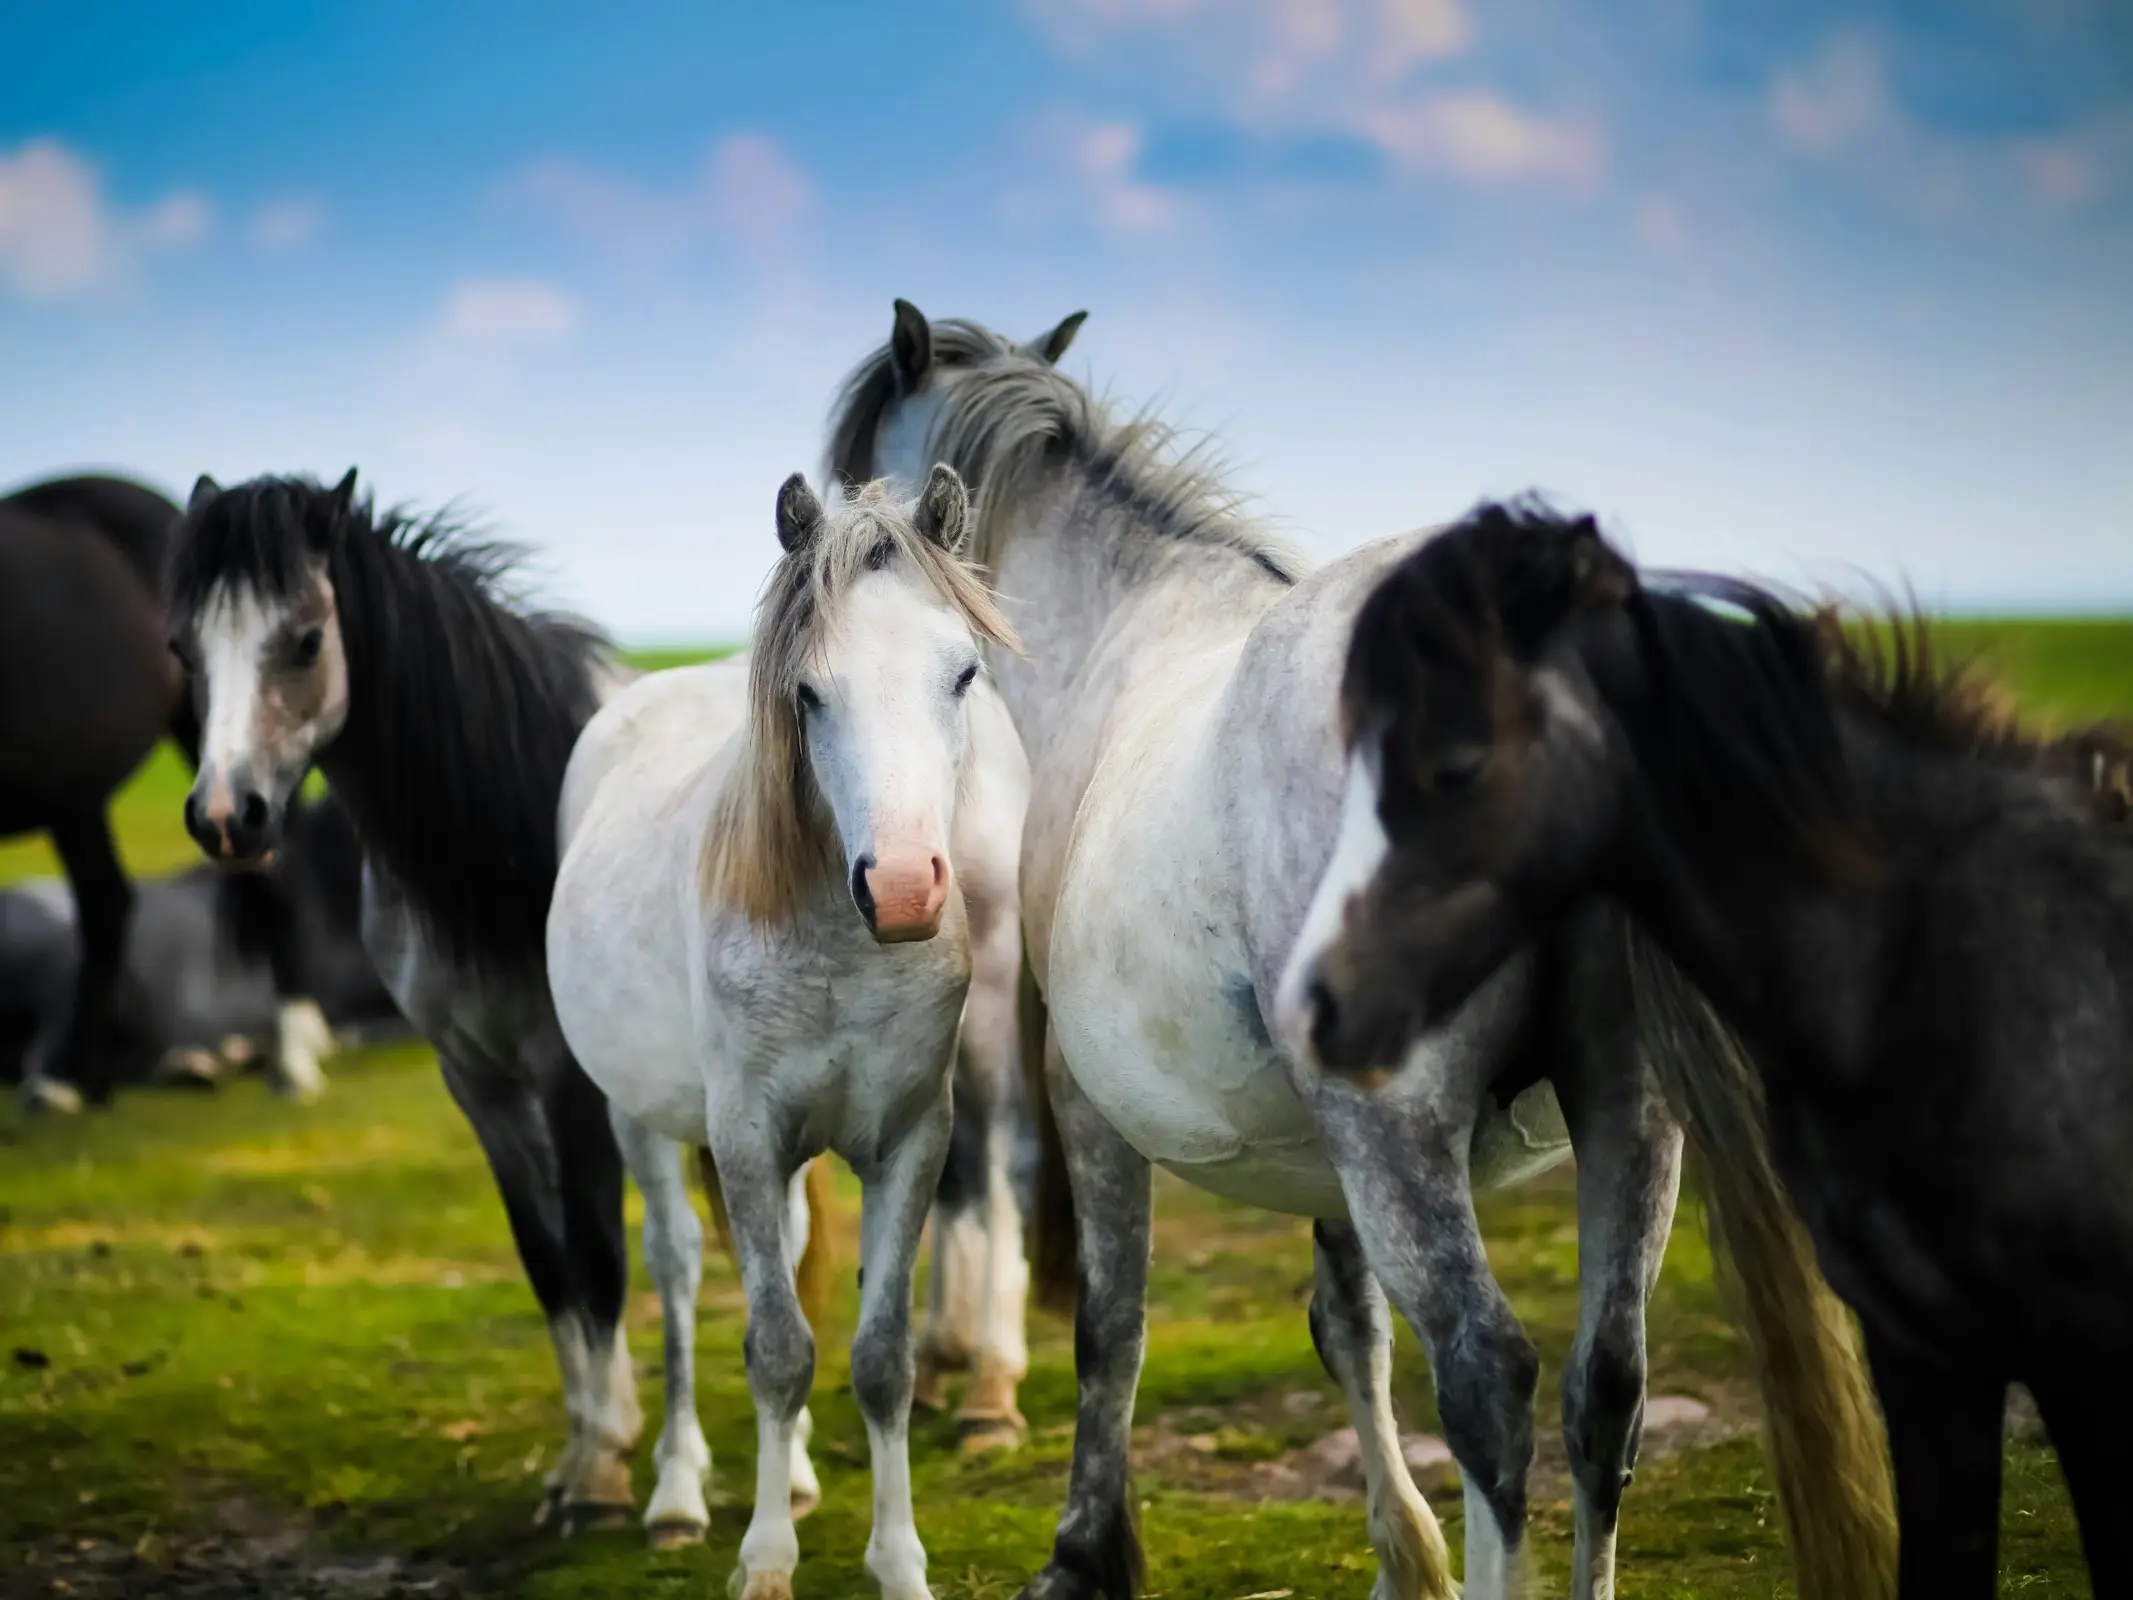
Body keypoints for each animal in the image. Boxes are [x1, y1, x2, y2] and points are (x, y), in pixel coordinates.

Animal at [546, 467, 1019, 1600]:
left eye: (963, 673)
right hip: (641, 1120)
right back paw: (676, 1494)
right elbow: (774, 1349)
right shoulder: (748, 1142)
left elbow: (880, 1356)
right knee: (676, 1272)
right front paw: (763, 1561)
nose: (903, 889)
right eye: (808, 693)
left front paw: (899, 1563)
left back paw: (794, 1474)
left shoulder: (910, 1140)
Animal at [814, 302, 1885, 1600]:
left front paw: (1084, 1552)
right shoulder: (1325, 1151)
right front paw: (1402, 1557)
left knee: (1488, 1377)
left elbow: (1111, 1331)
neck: (1126, 629)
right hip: (1627, 1114)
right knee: (1606, 1388)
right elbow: (1348, 1327)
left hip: (1403, 1132)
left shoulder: (1090, 1103)